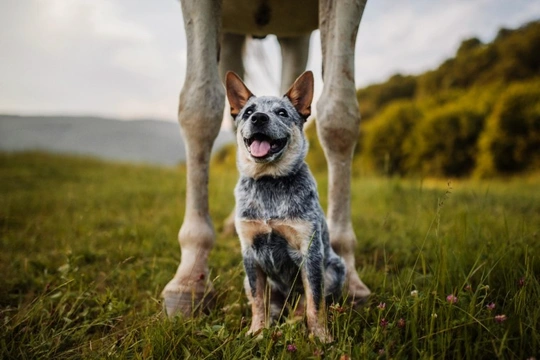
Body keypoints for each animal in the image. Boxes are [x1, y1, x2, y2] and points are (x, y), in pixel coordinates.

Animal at [225, 69, 346, 340]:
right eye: (248, 111)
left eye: (281, 112)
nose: (259, 118)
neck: (269, 183)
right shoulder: (250, 253)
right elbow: (258, 299)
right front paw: (257, 331)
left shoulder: (310, 252)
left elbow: (315, 301)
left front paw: (321, 337)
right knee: (265, 301)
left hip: (335, 269)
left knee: (305, 303)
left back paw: (293, 321)